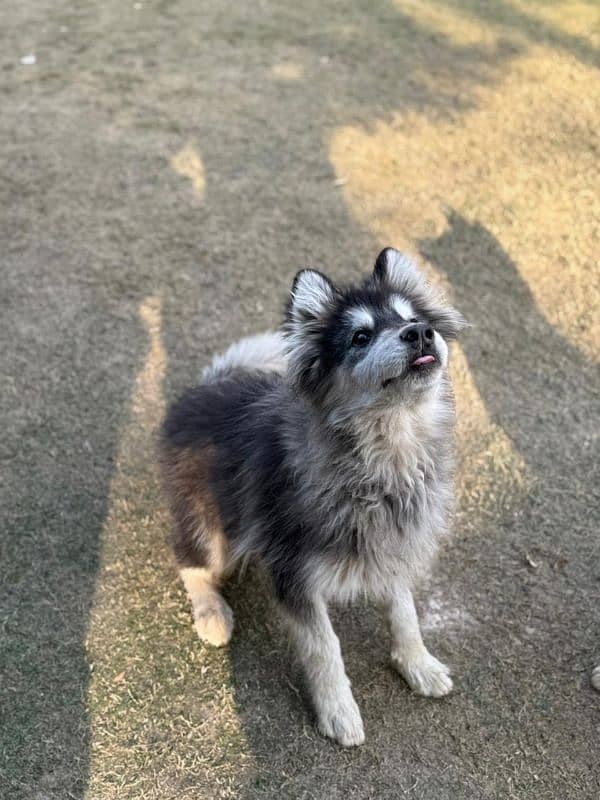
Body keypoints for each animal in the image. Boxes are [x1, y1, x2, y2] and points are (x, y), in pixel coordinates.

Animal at [161, 248, 468, 744]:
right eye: (360, 336)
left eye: (412, 318)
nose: (420, 332)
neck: (383, 457)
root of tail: (209, 385)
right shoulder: (294, 572)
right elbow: (325, 647)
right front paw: (338, 712)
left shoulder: (391, 546)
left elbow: (405, 613)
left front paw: (418, 665)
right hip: (217, 526)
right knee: (191, 562)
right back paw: (212, 614)